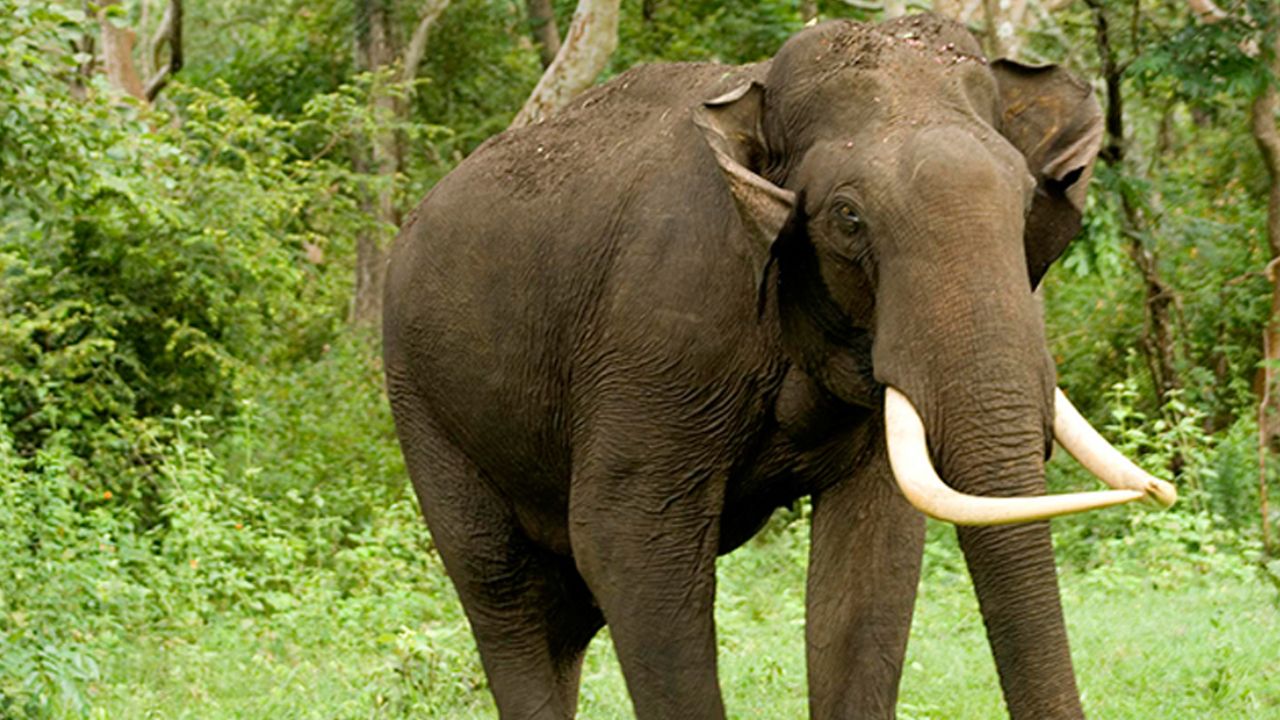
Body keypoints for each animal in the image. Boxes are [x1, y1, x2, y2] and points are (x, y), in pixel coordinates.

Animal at [382, 13, 1176, 720]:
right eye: (848, 218)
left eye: (1024, 200)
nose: (1162, 490)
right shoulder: (655, 331)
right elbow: (626, 541)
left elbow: (872, 561)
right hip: (421, 400)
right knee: (502, 587)